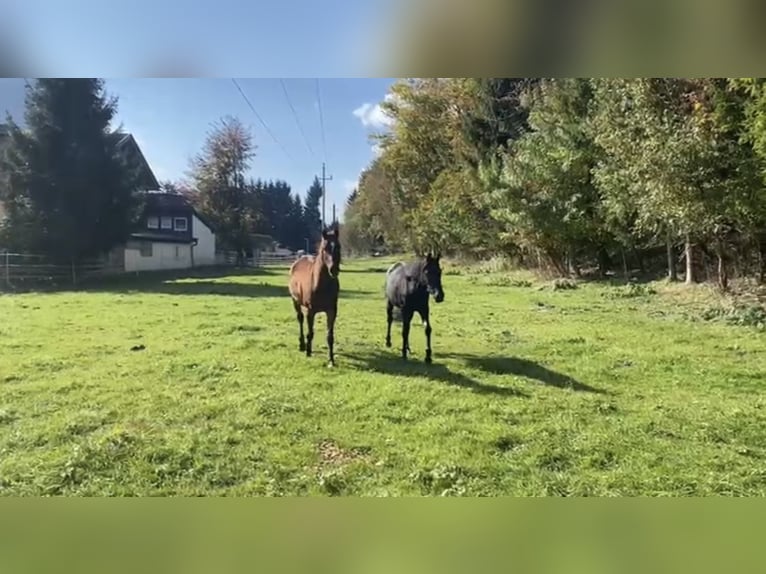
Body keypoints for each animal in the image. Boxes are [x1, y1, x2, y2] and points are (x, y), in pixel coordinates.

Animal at [288, 222, 341, 367]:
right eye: (324, 248)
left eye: (338, 246)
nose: (334, 270)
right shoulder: (310, 311)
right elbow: (310, 332)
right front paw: (308, 351)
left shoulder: (332, 310)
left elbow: (330, 336)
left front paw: (331, 360)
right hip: (295, 301)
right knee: (300, 319)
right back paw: (302, 345)